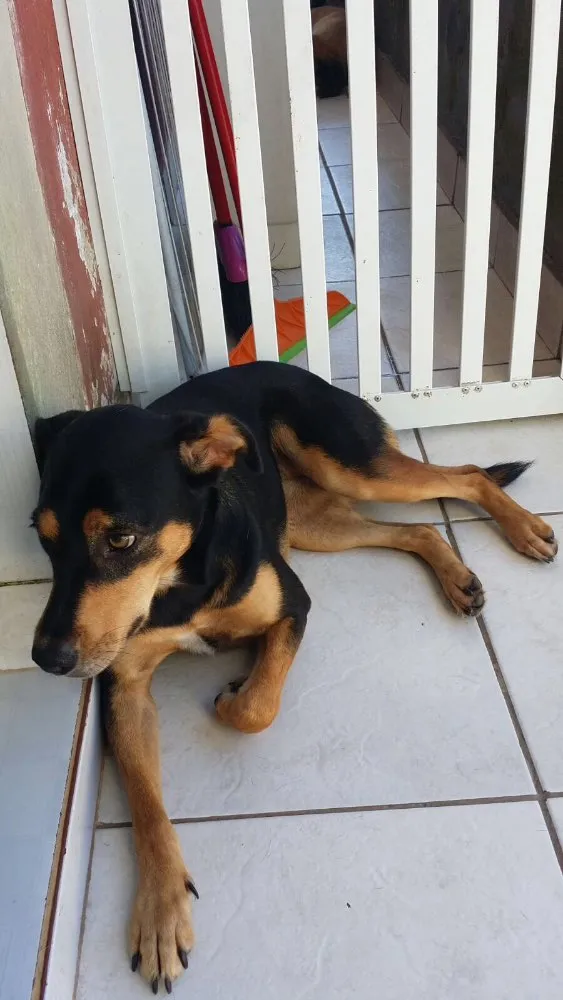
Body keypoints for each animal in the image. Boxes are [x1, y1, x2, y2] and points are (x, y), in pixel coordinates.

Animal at [31, 361, 557, 993]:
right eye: (42, 538)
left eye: (121, 539)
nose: (45, 659)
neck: (181, 580)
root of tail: (298, 371)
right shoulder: (126, 686)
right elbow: (148, 806)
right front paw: (160, 912)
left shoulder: (294, 606)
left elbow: (256, 708)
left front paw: (233, 692)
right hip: (313, 524)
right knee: (419, 531)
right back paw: (457, 576)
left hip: (353, 467)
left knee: (469, 476)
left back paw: (525, 528)